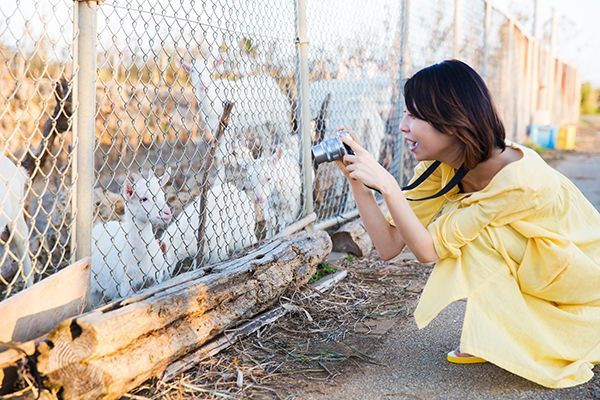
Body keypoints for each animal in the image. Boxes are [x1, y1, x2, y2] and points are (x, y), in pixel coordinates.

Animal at [90, 168, 172, 304]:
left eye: (163, 195)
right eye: (144, 199)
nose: (167, 213)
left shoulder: (156, 277)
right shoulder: (126, 285)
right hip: (93, 290)